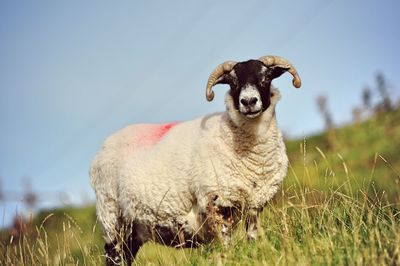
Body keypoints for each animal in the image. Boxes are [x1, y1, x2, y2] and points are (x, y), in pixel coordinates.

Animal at [90, 55, 302, 264]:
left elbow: (252, 237)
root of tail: (100, 151)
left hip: (135, 229)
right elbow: (226, 245)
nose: (248, 101)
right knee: (113, 254)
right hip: (112, 217)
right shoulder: (217, 202)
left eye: (265, 77)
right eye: (233, 82)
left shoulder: (254, 206)